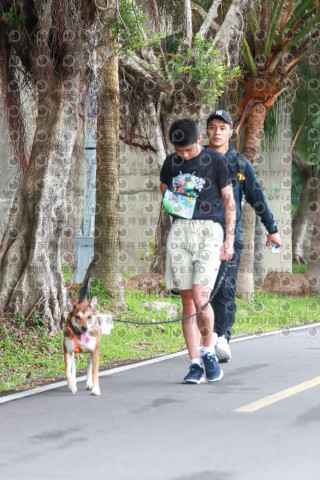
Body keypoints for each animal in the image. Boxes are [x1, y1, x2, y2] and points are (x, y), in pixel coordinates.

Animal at [63, 260, 101, 396]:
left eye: (89, 317)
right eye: (77, 317)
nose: (84, 328)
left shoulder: (94, 351)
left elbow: (94, 372)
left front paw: (95, 388)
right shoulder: (67, 351)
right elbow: (67, 371)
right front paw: (72, 386)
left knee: (90, 366)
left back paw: (89, 383)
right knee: (73, 367)